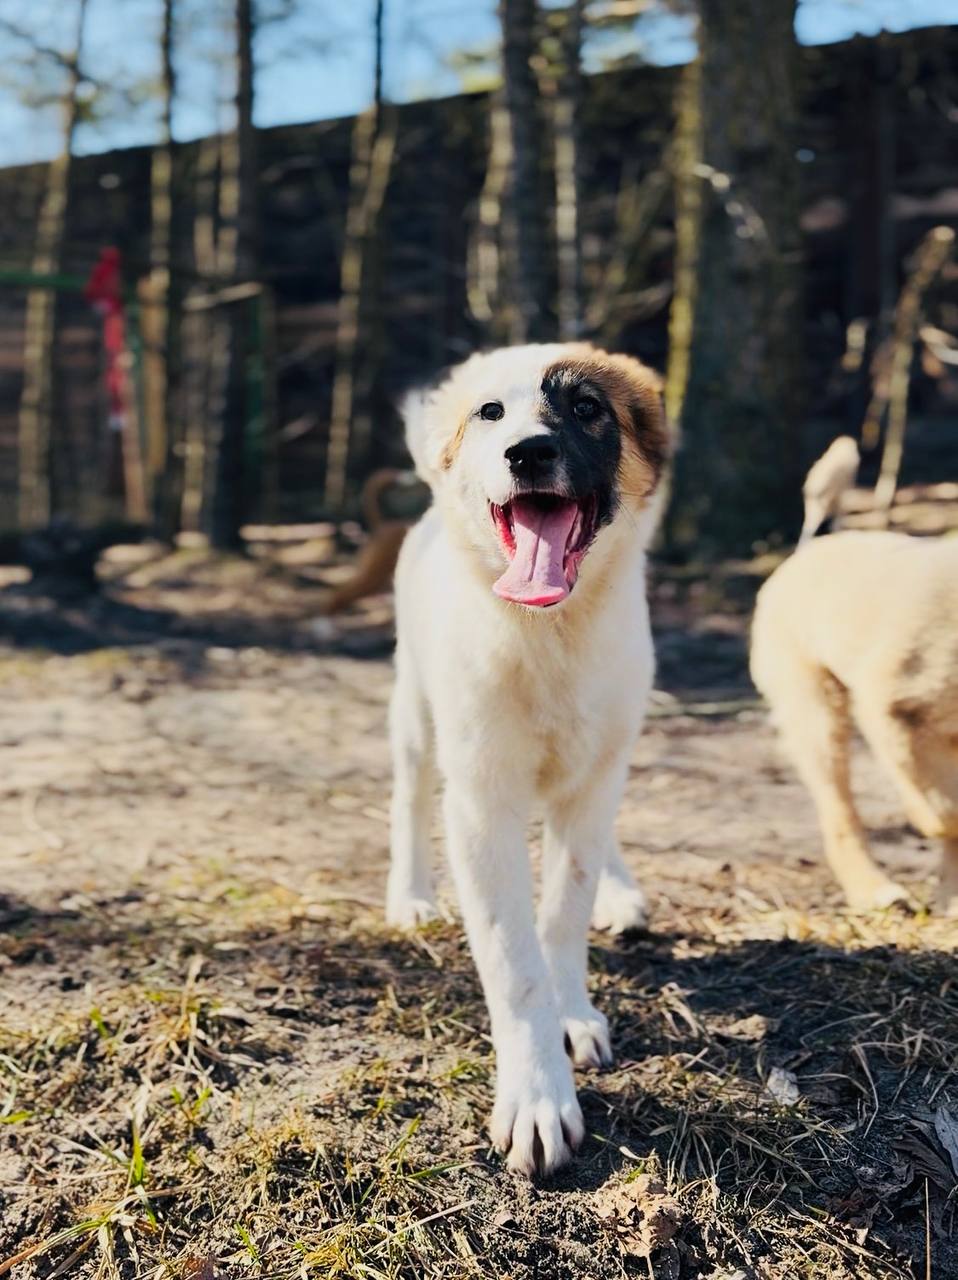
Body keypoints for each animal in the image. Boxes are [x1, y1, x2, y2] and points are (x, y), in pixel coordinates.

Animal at [385, 342, 668, 1176]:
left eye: (587, 408)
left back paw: (620, 892)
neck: (551, 634)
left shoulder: (594, 782)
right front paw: (538, 1098)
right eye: (491, 413)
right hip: (416, 717)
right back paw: (411, 894)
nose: (528, 452)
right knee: (409, 798)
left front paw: (573, 1012)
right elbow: (515, 966)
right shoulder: (483, 805)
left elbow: (562, 919)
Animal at [751, 442, 958, 915]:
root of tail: (816, 545)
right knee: (840, 811)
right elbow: (943, 812)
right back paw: (873, 889)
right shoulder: (895, 711)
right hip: (816, 714)